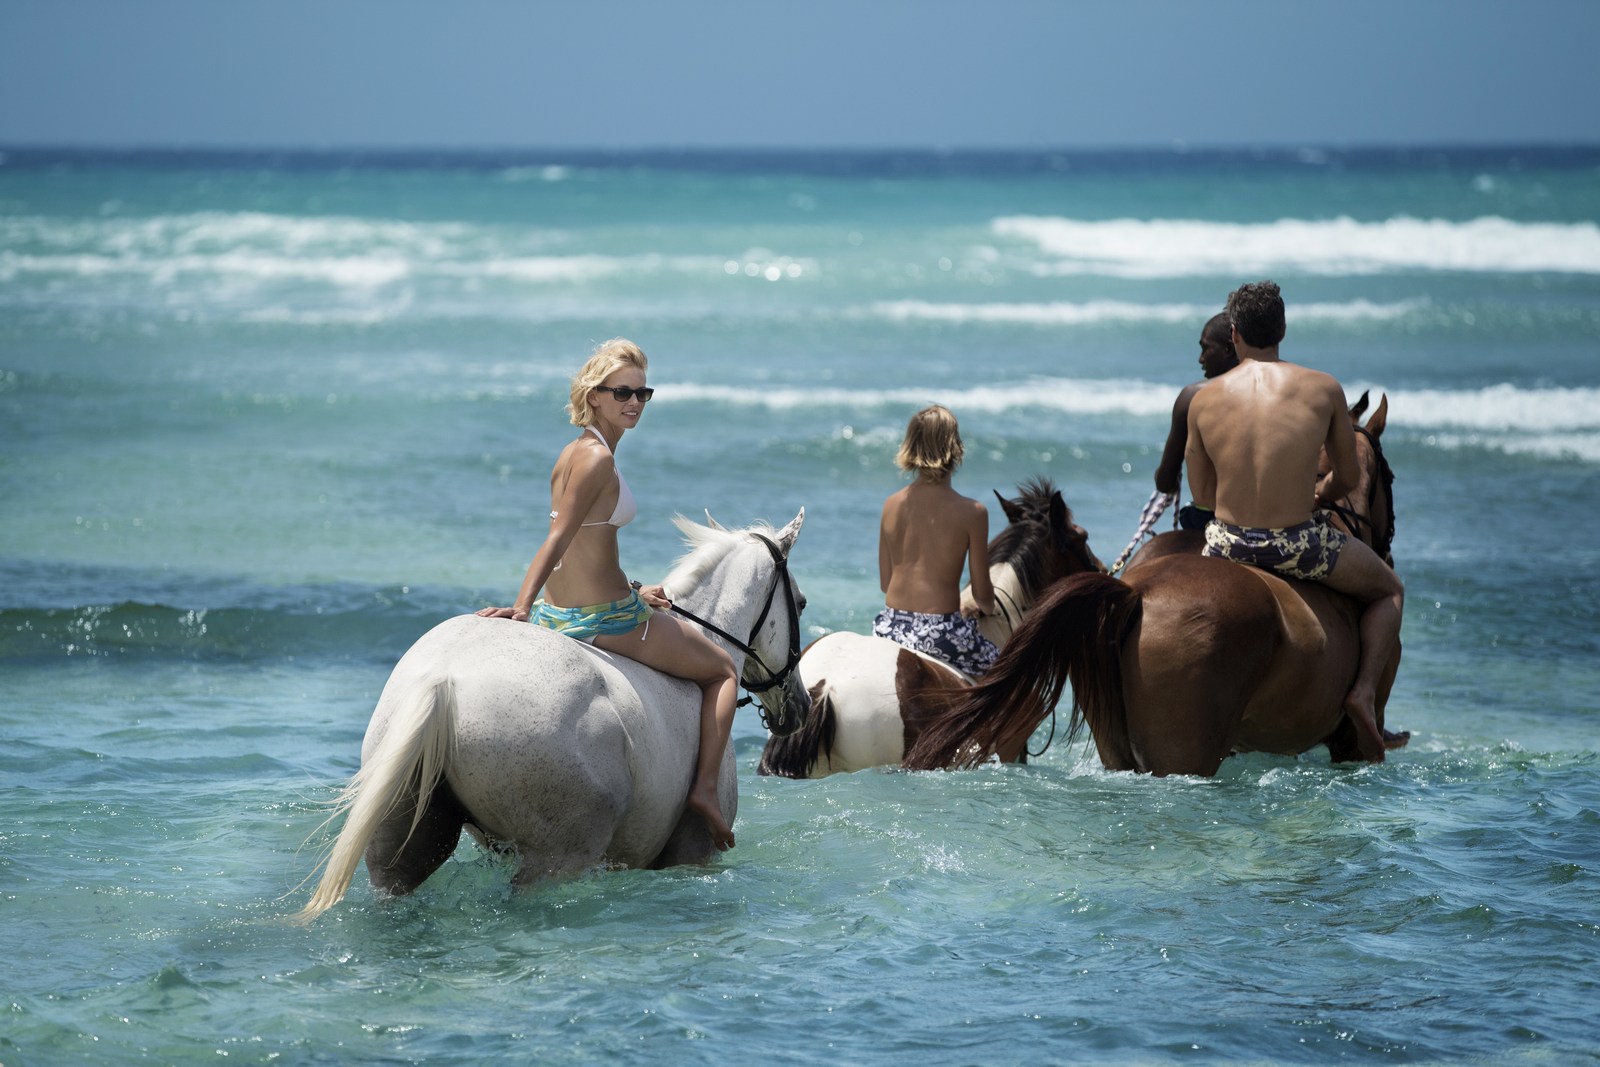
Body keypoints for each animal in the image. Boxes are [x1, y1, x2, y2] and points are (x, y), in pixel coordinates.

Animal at [296, 511, 809, 922]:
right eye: (801, 604)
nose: (800, 706)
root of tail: (442, 681)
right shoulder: (694, 852)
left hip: (402, 846)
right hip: (557, 858)